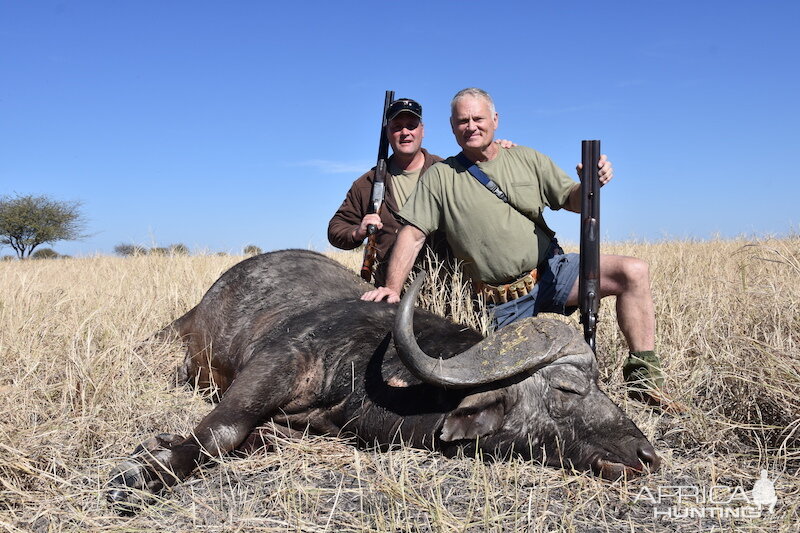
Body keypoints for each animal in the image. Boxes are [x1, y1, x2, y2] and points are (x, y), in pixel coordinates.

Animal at [104, 249, 656, 512]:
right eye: (567, 389)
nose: (646, 455)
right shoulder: (278, 363)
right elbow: (224, 429)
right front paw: (143, 473)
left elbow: (259, 437)